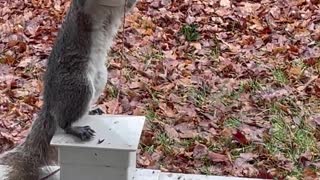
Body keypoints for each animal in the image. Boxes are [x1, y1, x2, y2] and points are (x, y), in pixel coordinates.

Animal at [0, 0, 136, 179]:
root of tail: (50, 103)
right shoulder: (82, 7)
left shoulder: (123, 8)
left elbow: (129, 6)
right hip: (78, 86)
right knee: (63, 122)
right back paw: (76, 129)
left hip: (99, 78)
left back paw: (91, 110)